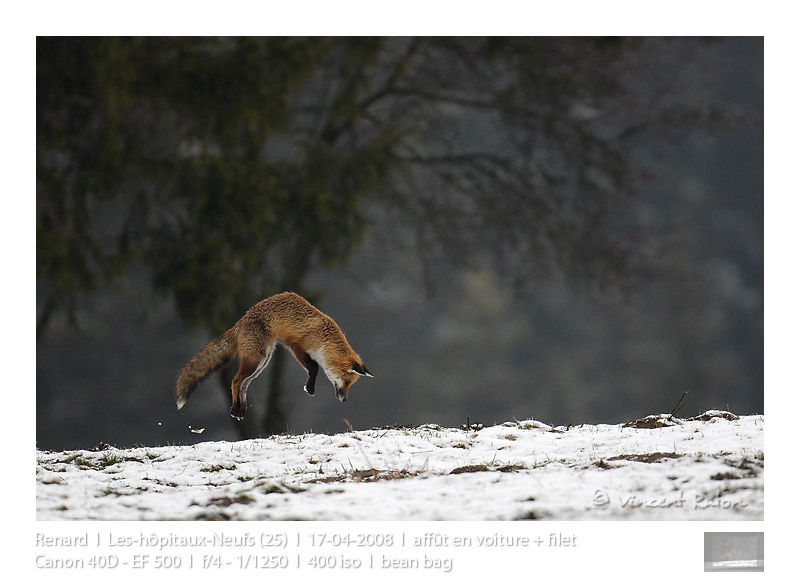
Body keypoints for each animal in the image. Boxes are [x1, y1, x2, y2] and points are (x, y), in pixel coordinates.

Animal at [175, 292, 372, 420]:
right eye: (346, 382)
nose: (344, 399)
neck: (324, 337)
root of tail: (242, 320)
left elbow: (314, 368)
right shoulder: (296, 346)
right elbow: (314, 367)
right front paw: (309, 388)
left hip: (262, 362)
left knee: (244, 384)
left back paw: (241, 409)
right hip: (255, 360)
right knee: (235, 381)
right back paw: (234, 410)